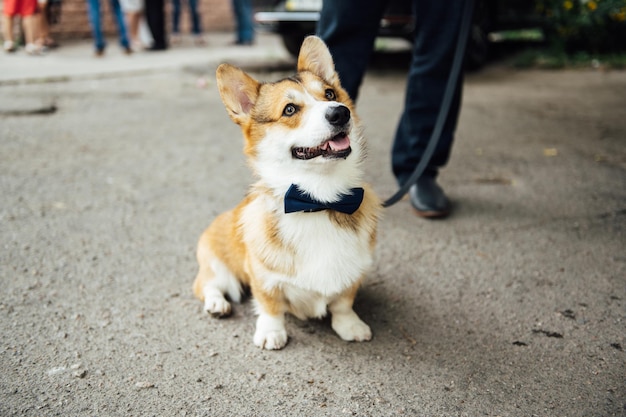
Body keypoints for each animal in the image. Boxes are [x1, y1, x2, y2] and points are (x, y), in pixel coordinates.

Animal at [190, 35, 378, 350]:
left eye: (330, 94)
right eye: (290, 109)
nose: (340, 112)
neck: (317, 200)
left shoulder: (354, 270)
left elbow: (343, 302)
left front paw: (350, 325)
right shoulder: (262, 276)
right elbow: (270, 305)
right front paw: (271, 332)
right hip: (218, 265)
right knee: (206, 284)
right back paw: (217, 304)